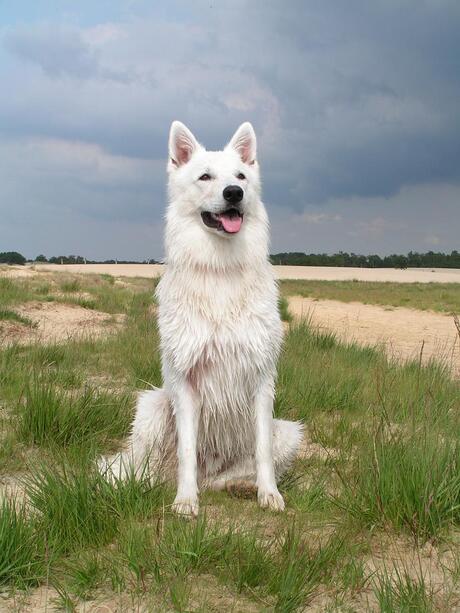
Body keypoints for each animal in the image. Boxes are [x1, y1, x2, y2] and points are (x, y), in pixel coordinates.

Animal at [100, 122, 302, 512]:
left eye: (240, 176)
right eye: (205, 176)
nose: (234, 193)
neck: (220, 269)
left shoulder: (261, 380)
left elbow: (262, 451)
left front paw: (269, 493)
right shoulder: (186, 380)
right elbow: (186, 450)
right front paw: (185, 500)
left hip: (288, 430)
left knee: (232, 472)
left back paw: (240, 486)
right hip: (152, 407)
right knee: (147, 468)